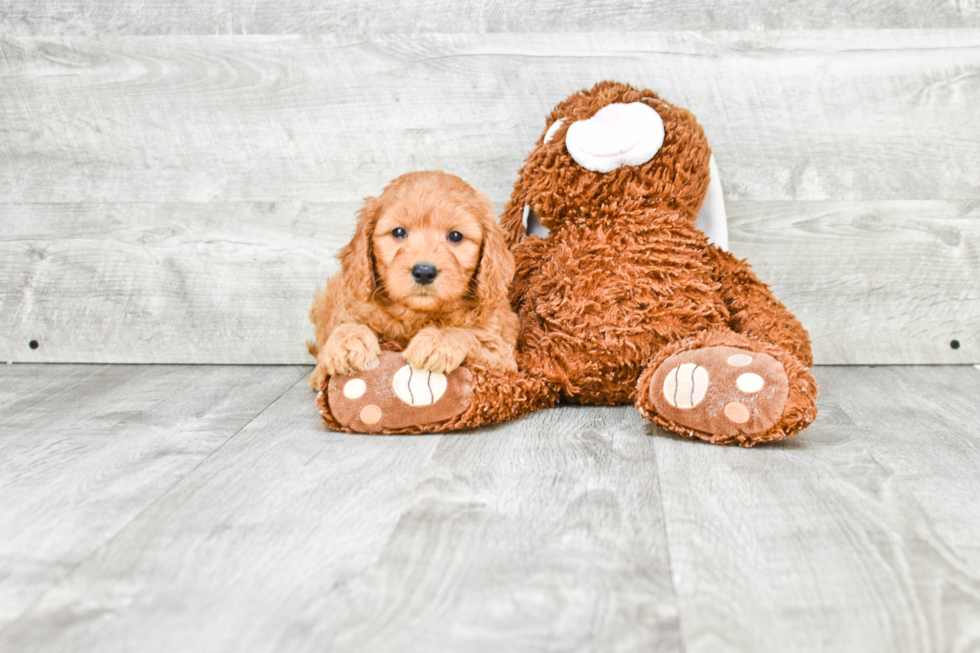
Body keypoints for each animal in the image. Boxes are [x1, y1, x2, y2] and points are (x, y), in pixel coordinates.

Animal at [310, 171, 516, 390]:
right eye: (399, 232)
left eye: (456, 236)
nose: (424, 272)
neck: (416, 315)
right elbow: (346, 325)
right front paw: (349, 340)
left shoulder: (501, 358)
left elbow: (468, 334)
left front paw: (438, 340)